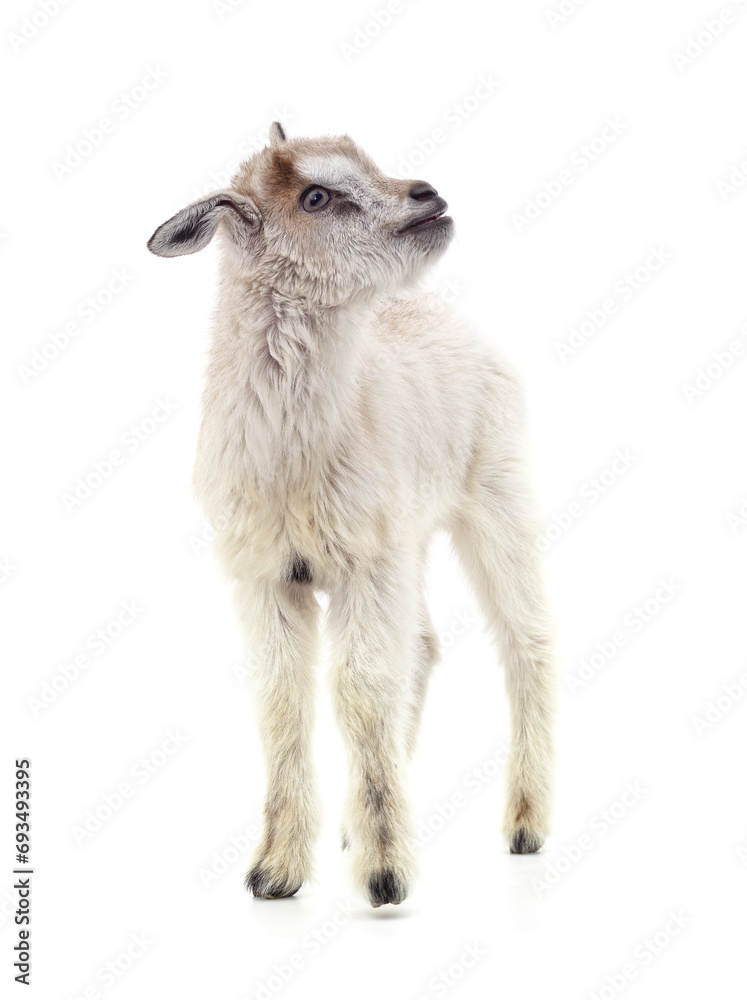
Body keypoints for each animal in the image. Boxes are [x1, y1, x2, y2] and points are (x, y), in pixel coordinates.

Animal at [147, 122, 556, 907]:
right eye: (315, 197)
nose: (426, 195)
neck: (294, 455)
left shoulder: (367, 563)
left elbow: (361, 689)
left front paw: (385, 875)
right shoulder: (269, 574)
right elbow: (282, 698)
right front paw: (276, 871)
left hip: (500, 497)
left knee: (526, 643)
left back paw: (525, 826)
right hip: (415, 537)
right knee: (423, 647)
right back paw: (349, 826)